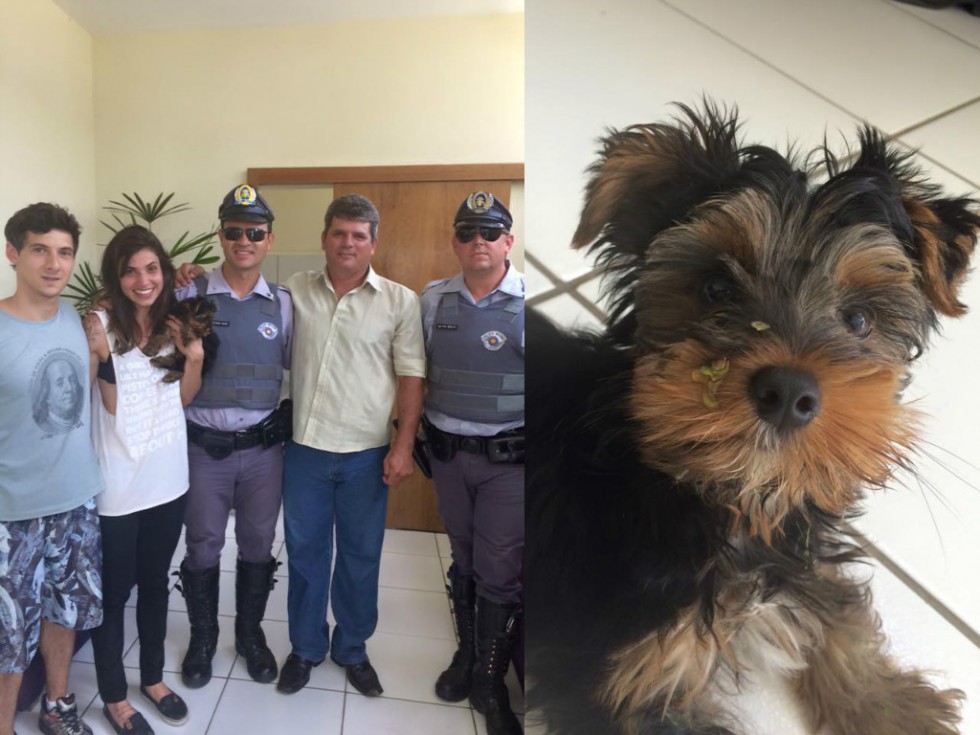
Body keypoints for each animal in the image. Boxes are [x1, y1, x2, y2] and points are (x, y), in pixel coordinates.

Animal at [528, 105, 980, 735]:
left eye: (859, 320)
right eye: (715, 288)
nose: (787, 391)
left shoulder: (801, 545)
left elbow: (836, 601)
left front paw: (891, 706)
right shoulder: (619, 677)